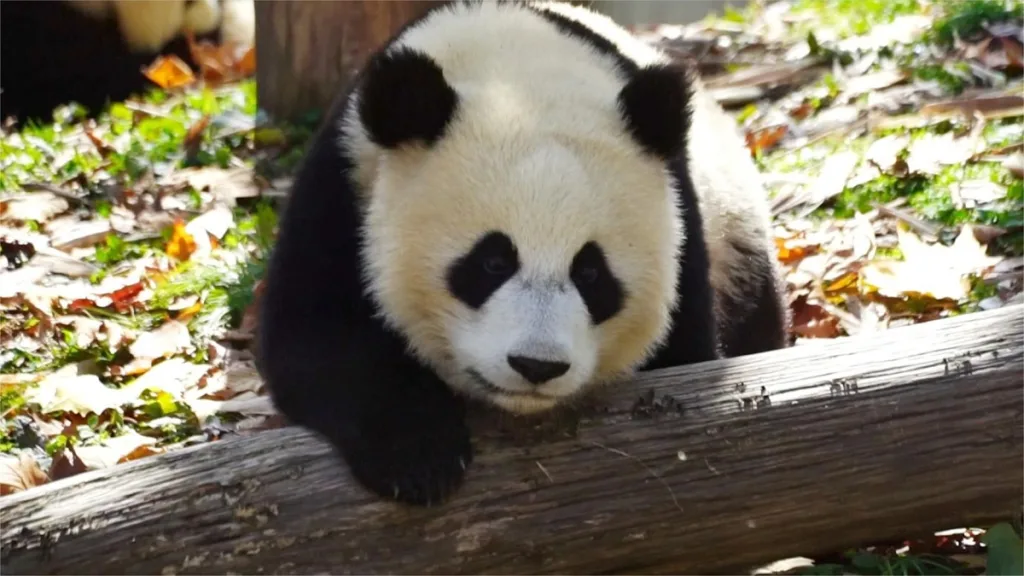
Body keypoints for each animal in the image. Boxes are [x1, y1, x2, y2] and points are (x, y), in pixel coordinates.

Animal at [256, 0, 790, 507]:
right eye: (492, 262)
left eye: (591, 273)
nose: (537, 366)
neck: (516, 76)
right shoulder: (345, 182)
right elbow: (315, 337)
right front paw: (419, 457)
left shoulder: (683, 223)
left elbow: (685, 354)